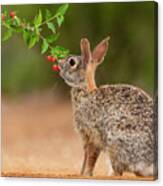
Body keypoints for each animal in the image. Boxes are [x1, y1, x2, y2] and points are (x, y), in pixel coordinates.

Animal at [58, 36, 157, 177]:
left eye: (72, 62)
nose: (59, 63)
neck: (86, 90)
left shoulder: (90, 134)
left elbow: (89, 157)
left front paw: (85, 174)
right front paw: (84, 174)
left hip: (115, 140)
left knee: (118, 170)